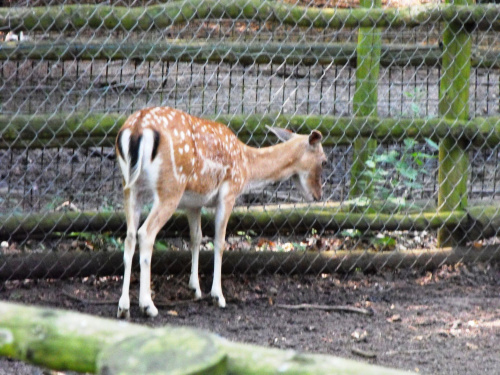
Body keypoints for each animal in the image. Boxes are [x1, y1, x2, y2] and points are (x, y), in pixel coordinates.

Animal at [115, 107, 326, 318]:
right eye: (324, 161)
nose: (318, 195)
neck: (246, 168)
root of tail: (137, 128)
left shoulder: (193, 202)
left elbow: (196, 237)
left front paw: (195, 289)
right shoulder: (229, 191)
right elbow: (219, 241)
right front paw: (218, 296)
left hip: (130, 187)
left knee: (129, 236)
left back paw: (123, 307)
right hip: (170, 188)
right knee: (145, 233)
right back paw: (148, 305)